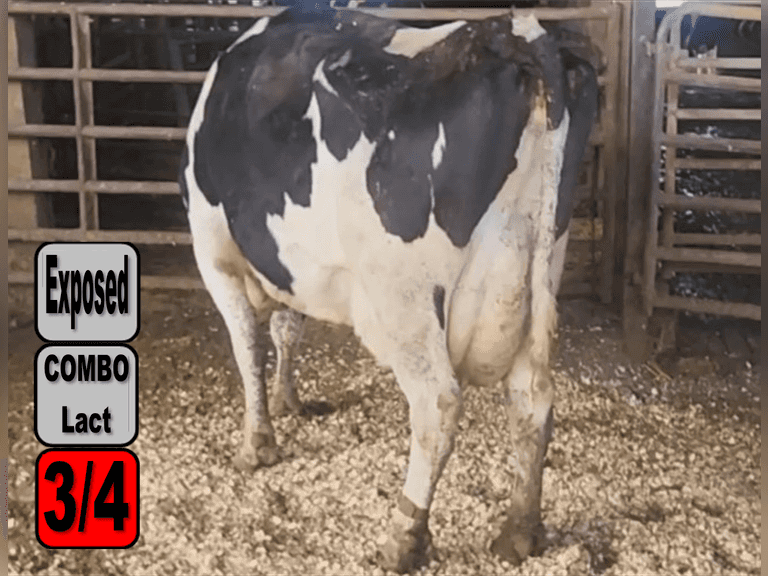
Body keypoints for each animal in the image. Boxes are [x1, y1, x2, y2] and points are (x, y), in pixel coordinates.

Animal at [180, 5, 598, 572]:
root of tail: (514, 32)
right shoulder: (294, 266)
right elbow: (289, 328)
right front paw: (289, 402)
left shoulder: (214, 252)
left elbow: (249, 347)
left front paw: (258, 443)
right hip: (539, 271)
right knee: (532, 399)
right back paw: (519, 532)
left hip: (405, 299)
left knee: (437, 404)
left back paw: (403, 538)